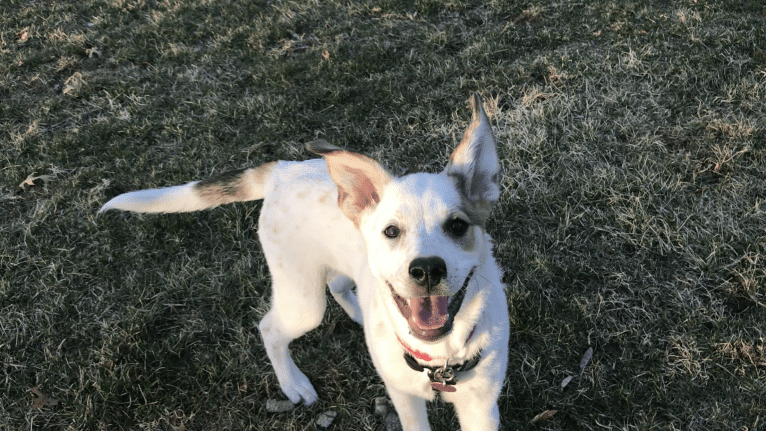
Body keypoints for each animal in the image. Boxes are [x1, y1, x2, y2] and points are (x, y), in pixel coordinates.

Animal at [100, 93, 510, 430]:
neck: (440, 360)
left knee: (337, 283)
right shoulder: (405, 397)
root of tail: (282, 170)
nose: (426, 270)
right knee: (269, 327)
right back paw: (293, 383)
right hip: (303, 301)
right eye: (391, 231)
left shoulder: (481, 406)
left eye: (457, 226)